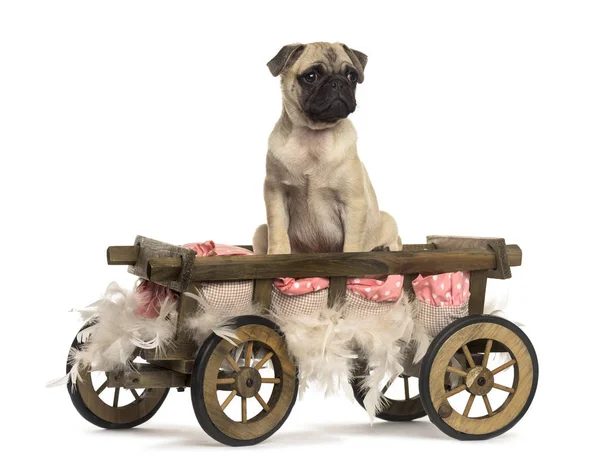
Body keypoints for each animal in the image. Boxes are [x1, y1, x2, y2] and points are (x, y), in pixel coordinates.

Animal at [251, 42, 400, 255]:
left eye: (352, 76)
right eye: (311, 76)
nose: (338, 83)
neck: (313, 137)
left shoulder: (353, 203)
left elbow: (352, 243)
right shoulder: (276, 193)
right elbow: (278, 232)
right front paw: (278, 254)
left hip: (388, 221)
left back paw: (382, 249)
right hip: (260, 231)